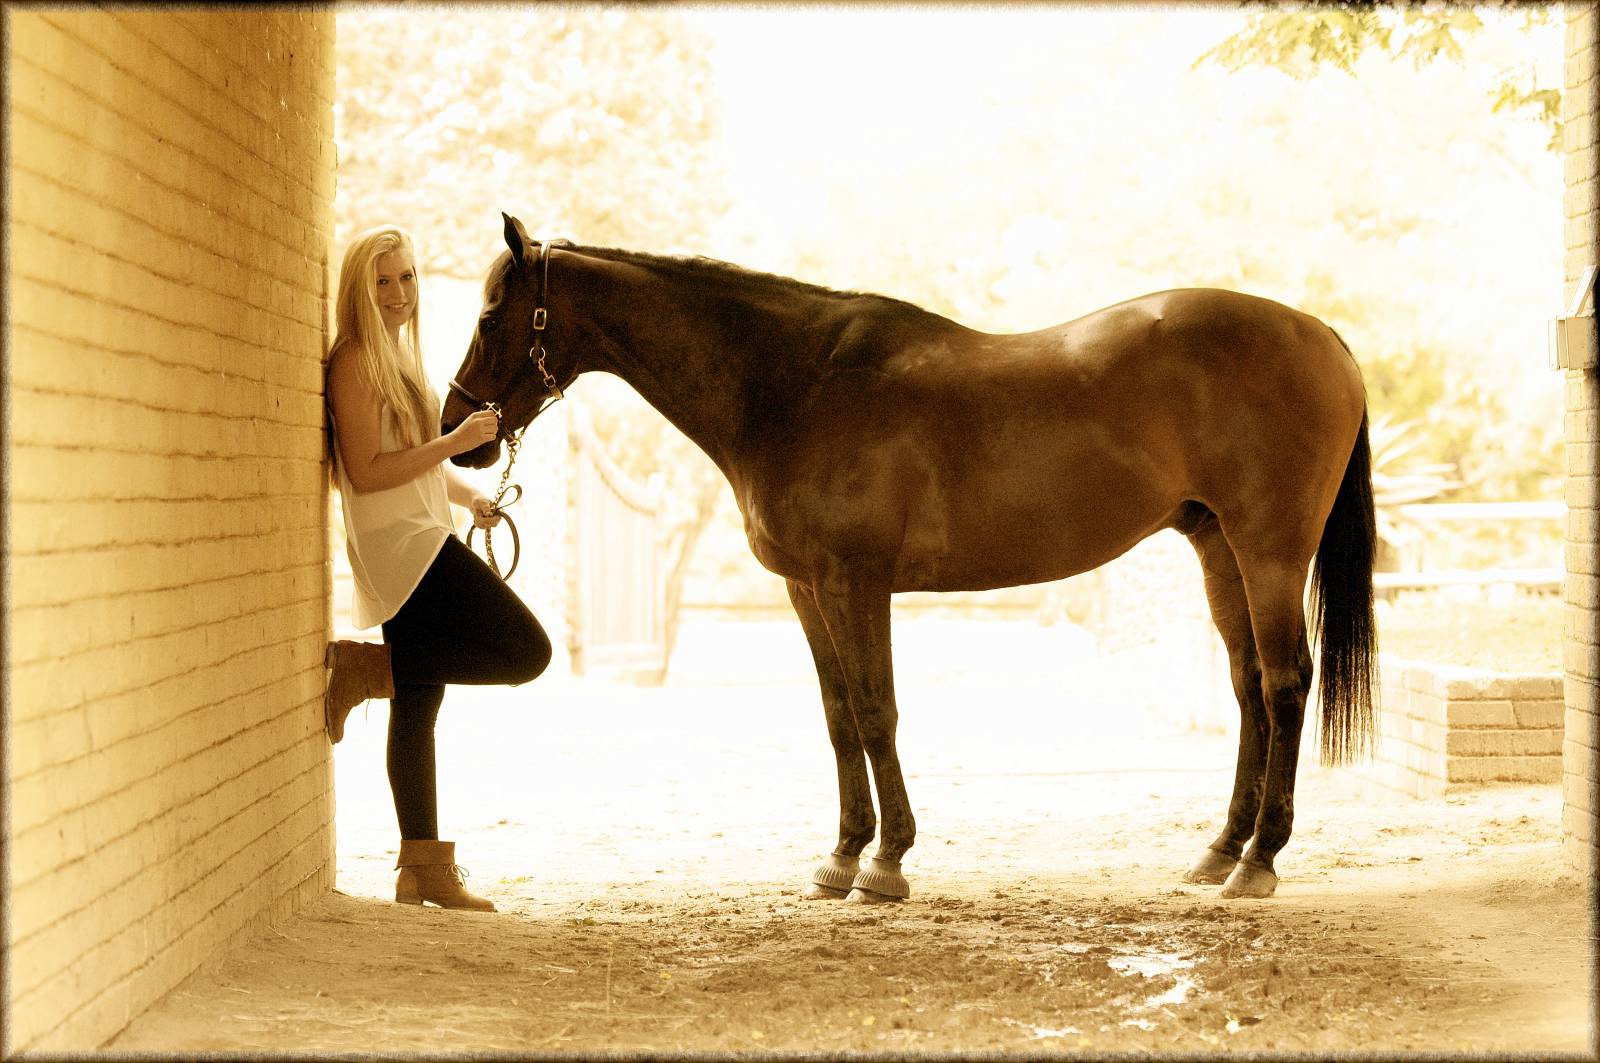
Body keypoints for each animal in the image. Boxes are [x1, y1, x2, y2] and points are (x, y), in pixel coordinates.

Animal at [443, 213, 1377, 903]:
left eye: (490, 317)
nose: (463, 433)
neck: (795, 385)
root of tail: (1323, 336)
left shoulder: (857, 582)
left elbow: (876, 711)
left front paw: (886, 862)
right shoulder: (808, 589)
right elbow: (837, 716)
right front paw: (842, 855)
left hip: (1268, 551)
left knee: (1285, 683)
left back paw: (1259, 860)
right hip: (1219, 548)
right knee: (1249, 688)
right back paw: (1220, 849)